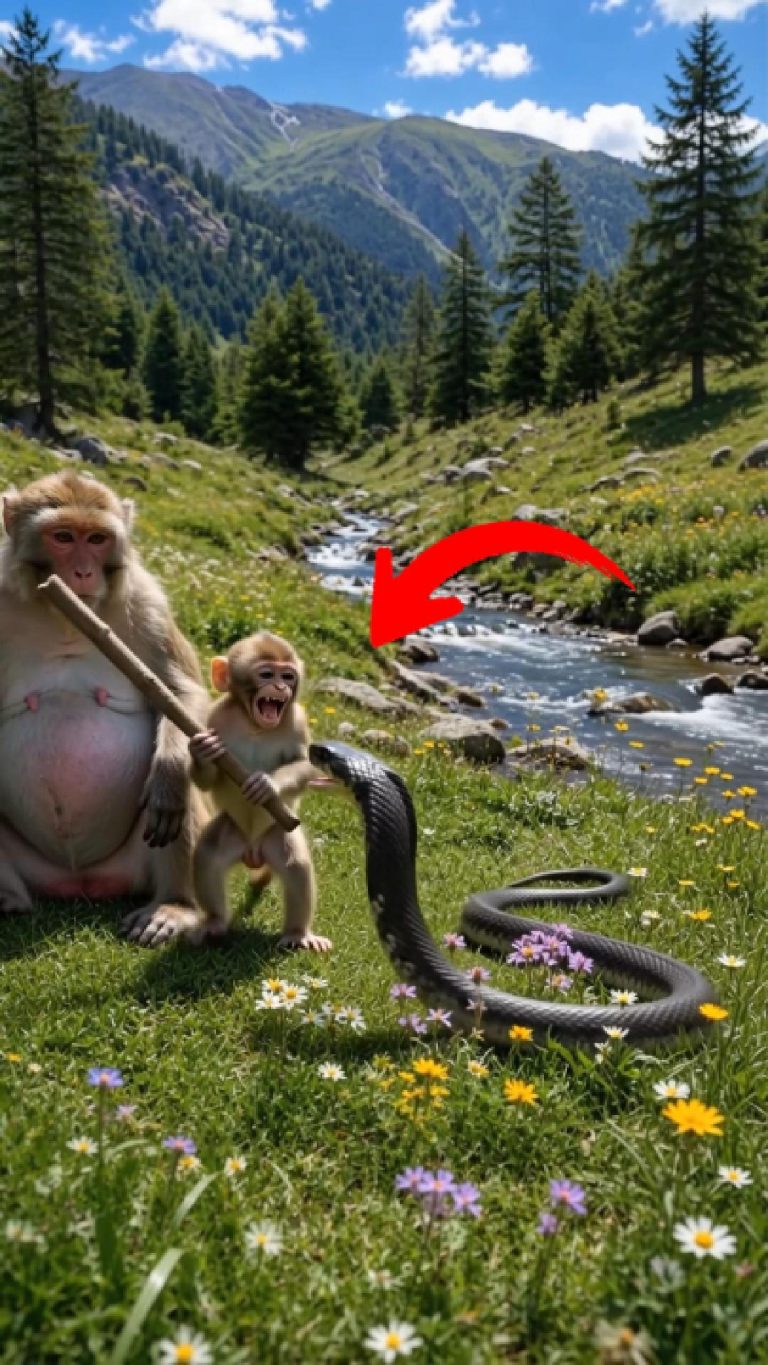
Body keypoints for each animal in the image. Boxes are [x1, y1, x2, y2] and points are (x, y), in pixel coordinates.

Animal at [0, 468, 210, 947]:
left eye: (97, 539)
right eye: (63, 536)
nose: (81, 572)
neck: (62, 618)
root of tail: (82, 882)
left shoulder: (148, 604)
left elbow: (181, 693)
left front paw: (169, 771)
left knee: (183, 784)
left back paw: (176, 907)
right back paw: (6, 900)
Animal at [188, 631, 332, 952]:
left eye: (288, 676)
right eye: (266, 674)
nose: (280, 687)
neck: (255, 725)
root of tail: (253, 852)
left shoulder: (297, 720)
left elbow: (305, 764)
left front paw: (268, 784)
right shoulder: (214, 717)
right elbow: (206, 779)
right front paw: (202, 751)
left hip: (276, 835)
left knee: (296, 866)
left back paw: (298, 934)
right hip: (232, 832)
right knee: (207, 855)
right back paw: (215, 922)